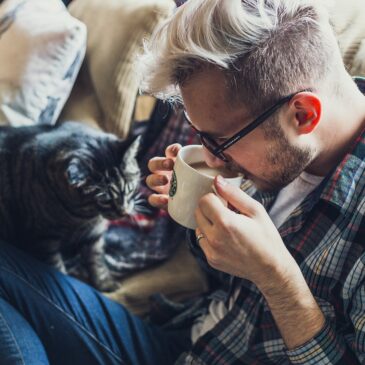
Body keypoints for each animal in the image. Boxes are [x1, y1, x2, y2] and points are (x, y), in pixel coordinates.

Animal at [0, 121, 141, 292]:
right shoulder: (44, 238)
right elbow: (56, 266)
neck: (81, 217)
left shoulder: (94, 234)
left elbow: (96, 260)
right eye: (105, 201)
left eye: (130, 189)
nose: (124, 212)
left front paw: (105, 283)